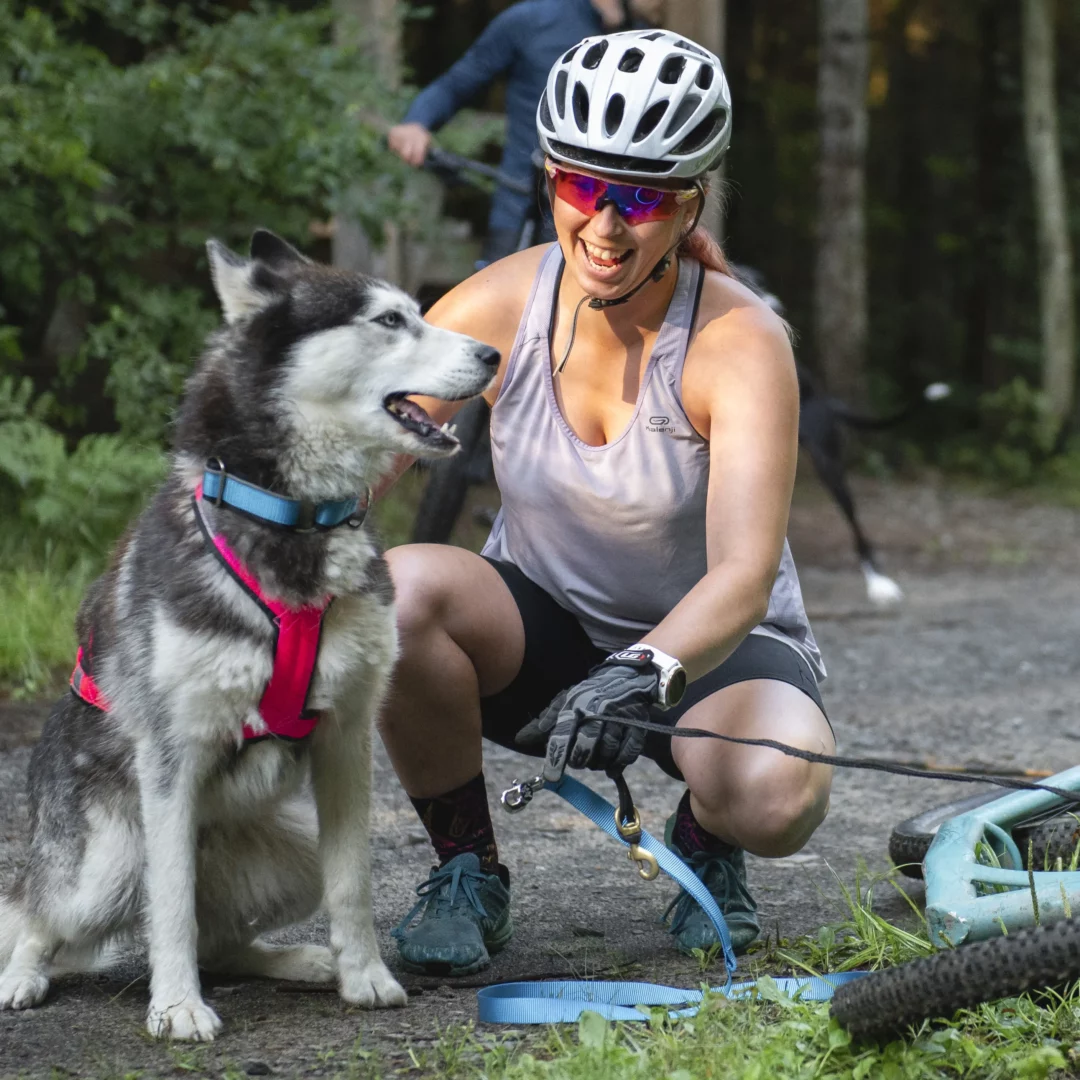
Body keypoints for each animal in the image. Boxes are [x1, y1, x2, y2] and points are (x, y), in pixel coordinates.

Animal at [0, 230, 498, 1036]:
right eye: (390, 320)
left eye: (419, 311)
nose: (492, 353)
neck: (295, 519)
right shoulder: (171, 758)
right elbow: (169, 904)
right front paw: (176, 1007)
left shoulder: (347, 738)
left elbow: (353, 883)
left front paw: (364, 975)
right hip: (106, 862)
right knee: (39, 913)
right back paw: (23, 976)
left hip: (292, 853)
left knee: (224, 941)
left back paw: (302, 961)